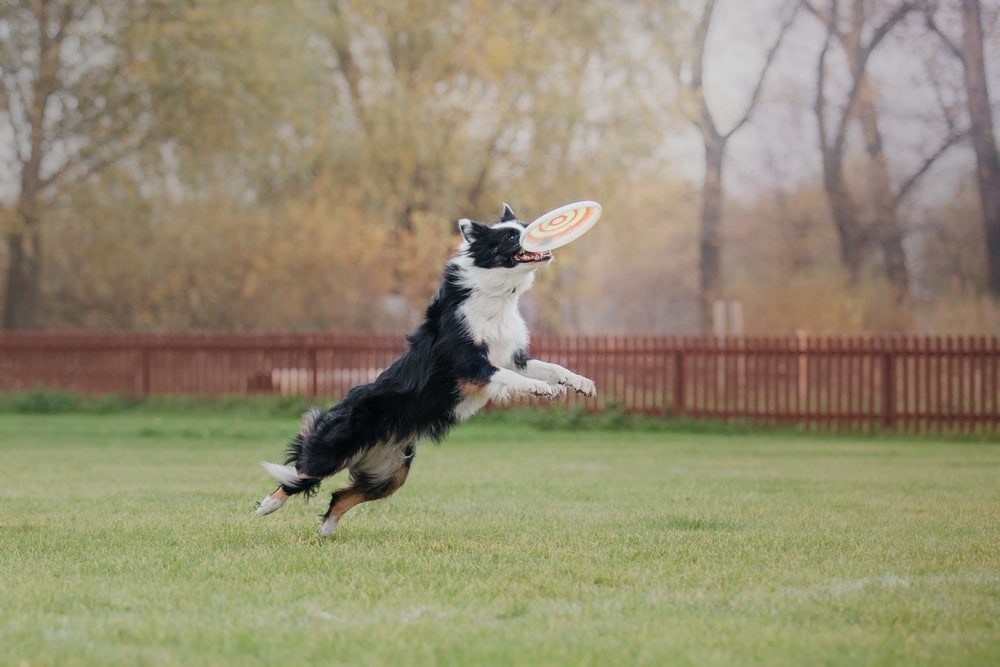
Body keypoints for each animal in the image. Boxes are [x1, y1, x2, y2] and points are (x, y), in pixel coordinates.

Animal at [256, 204, 592, 536]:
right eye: (511, 236)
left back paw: (326, 530)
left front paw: (579, 383)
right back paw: (267, 506)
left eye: (525, 225)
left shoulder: (513, 356)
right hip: (338, 447)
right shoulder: (470, 364)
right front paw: (540, 388)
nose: (540, 234)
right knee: (299, 475)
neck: (496, 294)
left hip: (392, 473)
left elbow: (550, 366)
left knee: (339, 495)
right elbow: (510, 377)